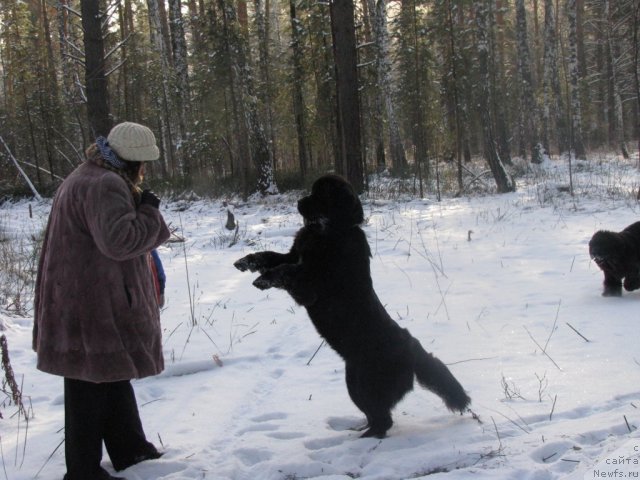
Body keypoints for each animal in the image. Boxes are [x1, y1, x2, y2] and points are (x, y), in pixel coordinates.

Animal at [235, 174, 470, 436]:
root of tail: (412, 347)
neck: (330, 231)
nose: (298, 201)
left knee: (383, 420)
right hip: (354, 381)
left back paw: (363, 438)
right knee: (376, 416)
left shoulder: (310, 284)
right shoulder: (294, 255)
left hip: (363, 383)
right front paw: (247, 261)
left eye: (321, 194)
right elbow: (271, 256)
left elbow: (286, 270)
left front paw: (263, 279)